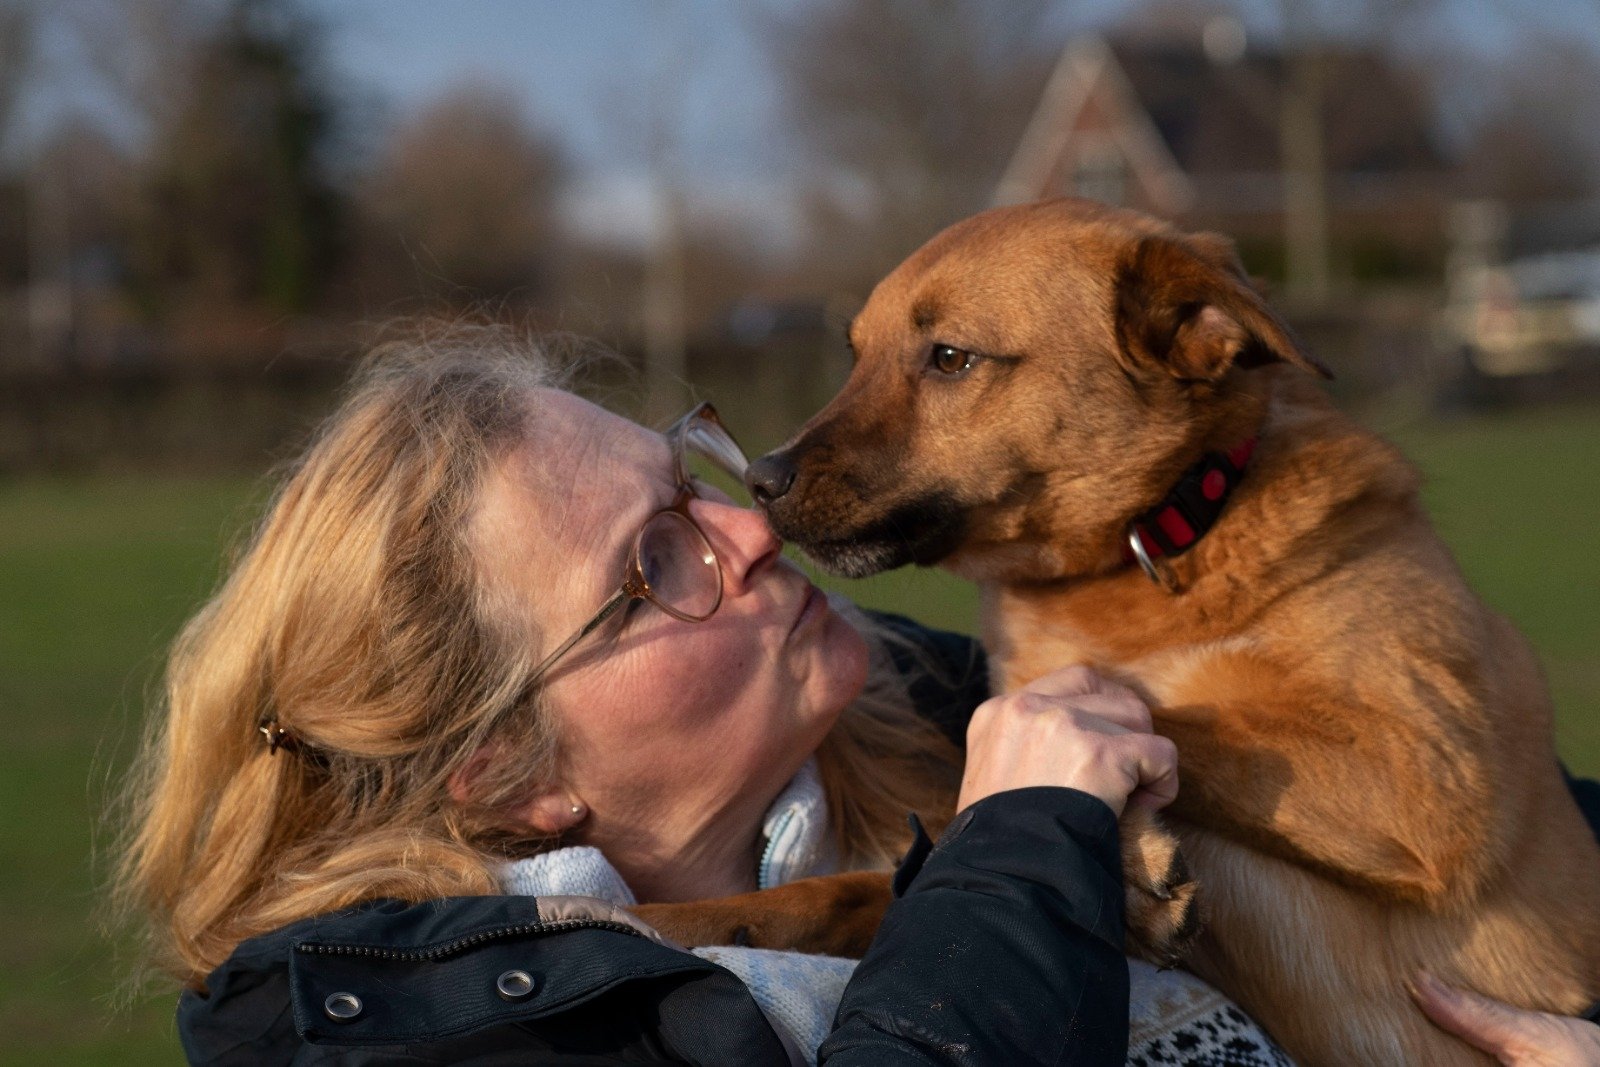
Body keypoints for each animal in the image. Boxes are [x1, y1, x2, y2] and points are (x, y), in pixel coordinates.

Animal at [646, 198, 1600, 1062]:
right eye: (858, 355)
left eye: (950, 357)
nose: (762, 480)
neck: (1159, 536)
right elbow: (857, 885)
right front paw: (665, 917)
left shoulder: (1427, 764)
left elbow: (1114, 713)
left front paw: (1131, 858)